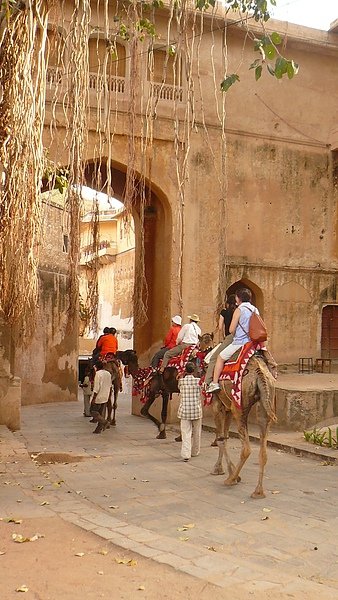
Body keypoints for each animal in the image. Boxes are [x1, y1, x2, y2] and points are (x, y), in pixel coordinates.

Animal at [211, 354, 278, 500]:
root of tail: (259, 374)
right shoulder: (227, 406)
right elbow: (225, 437)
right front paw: (224, 470)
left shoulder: (217, 404)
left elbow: (221, 439)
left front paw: (221, 470)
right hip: (266, 401)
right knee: (263, 451)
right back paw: (258, 492)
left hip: (239, 406)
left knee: (246, 448)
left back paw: (231, 480)